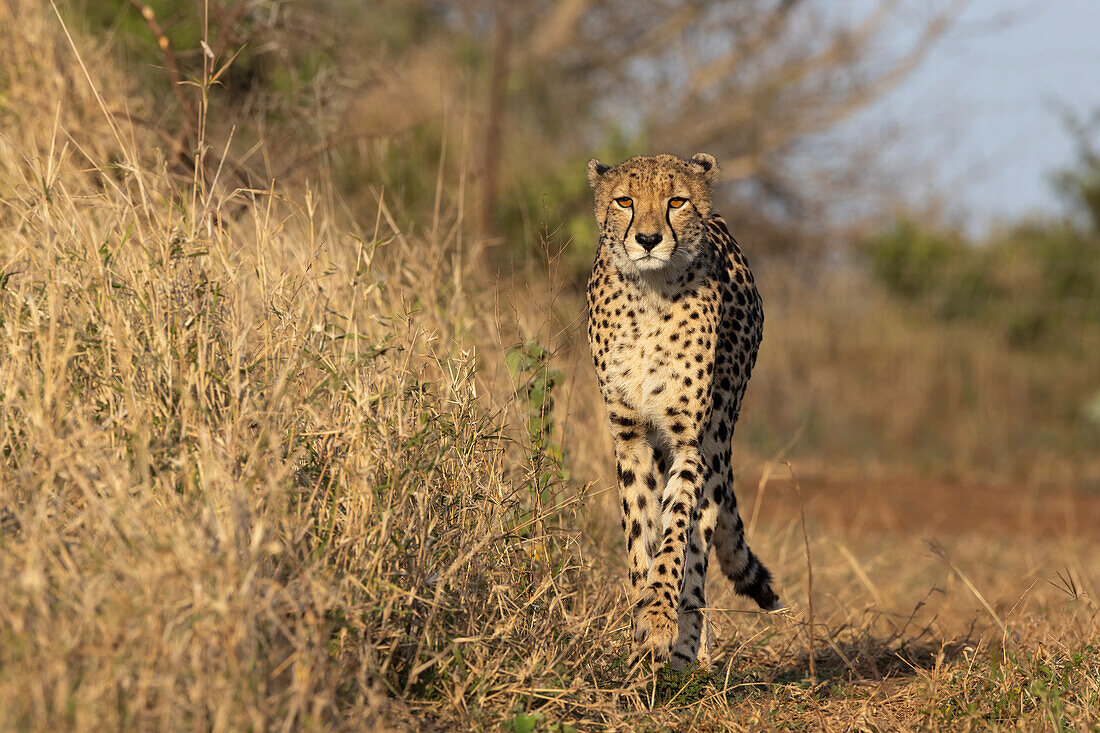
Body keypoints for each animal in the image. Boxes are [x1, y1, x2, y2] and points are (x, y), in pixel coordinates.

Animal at [585, 150, 783, 664]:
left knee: (700, 542)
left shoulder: (688, 442)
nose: (648, 239)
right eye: (625, 201)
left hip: (717, 436)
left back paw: (689, 649)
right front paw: (642, 623)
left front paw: (659, 619)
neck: (650, 294)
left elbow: (676, 534)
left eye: (676, 201)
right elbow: (641, 531)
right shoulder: (631, 437)